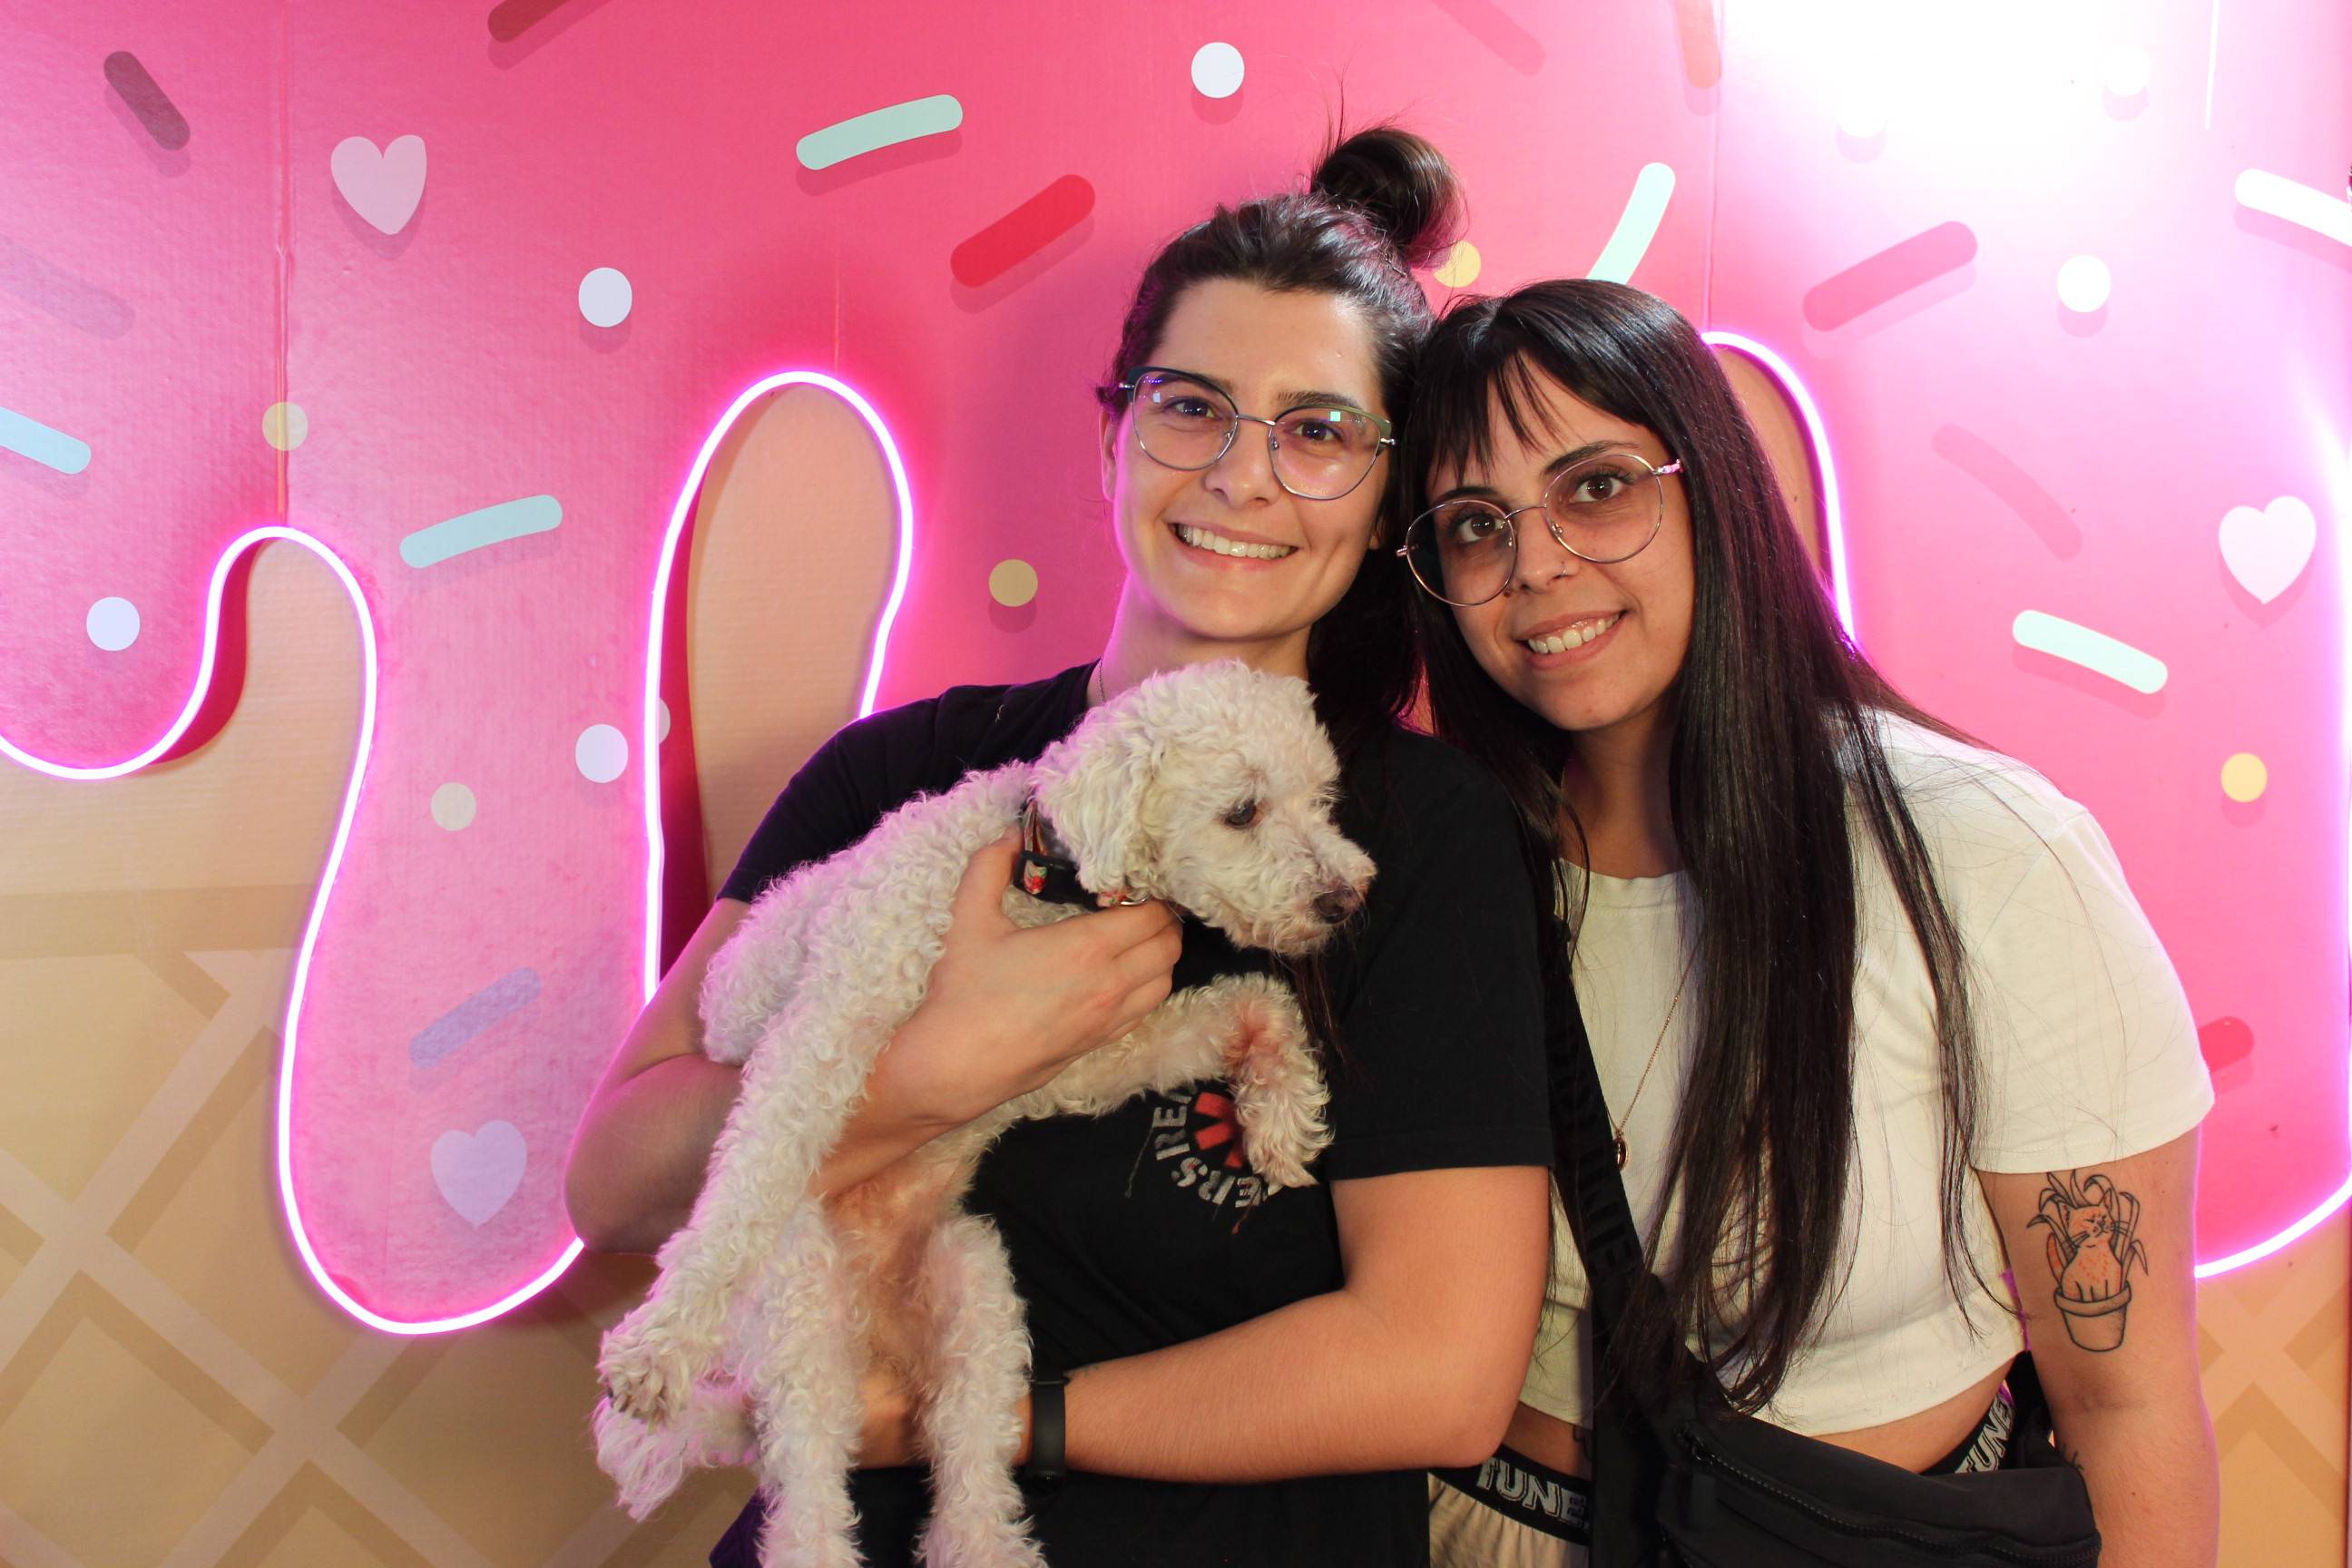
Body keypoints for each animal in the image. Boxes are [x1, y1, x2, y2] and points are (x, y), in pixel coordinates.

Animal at [592, 660, 1376, 1568]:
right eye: (1243, 811)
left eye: (1322, 799)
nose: (1347, 898)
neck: (1040, 878)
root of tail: (877, 1331)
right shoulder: (826, 1032)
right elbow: (750, 1181)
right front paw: (661, 1340)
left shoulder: (1073, 1061)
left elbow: (1250, 1002)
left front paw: (1280, 1109)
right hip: (799, 1300)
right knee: (807, 1495)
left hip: (976, 1292)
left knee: (965, 1465)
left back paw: (986, 1544)